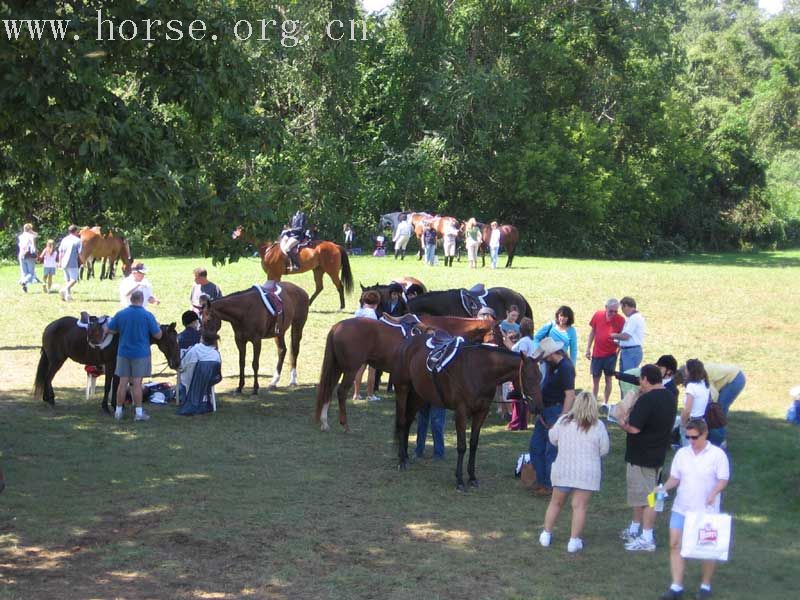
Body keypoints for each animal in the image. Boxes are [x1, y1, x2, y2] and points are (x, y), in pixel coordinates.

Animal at [33, 318, 180, 412]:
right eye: (172, 341)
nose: (177, 362)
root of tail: (49, 327)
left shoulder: (116, 366)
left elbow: (114, 385)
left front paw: (114, 405)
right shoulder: (111, 365)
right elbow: (110, 385)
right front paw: (108, 406)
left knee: (47, 378)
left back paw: (47, 398)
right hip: (57, 361)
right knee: (48, 378)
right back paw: (50, 400)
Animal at [312, 314, 500, 432]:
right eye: (498, 333)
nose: (499, 349)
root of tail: (337, 326)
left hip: (337, 367)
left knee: (328, 390)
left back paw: (324, 423)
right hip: (351, 369)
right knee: (341, 392)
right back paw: (344, 425)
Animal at [392, 332, 544, 492]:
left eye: (540, 377)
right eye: (529, 378)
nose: (539, 407)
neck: (480, 371)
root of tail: (406, 344)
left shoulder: (481, 412)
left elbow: (473, 444)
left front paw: (472, 477)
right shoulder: (461, 413)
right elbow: (461, 446)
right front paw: (459, 480)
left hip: (419, 395)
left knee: (408, 421)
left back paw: (405, 456)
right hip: (403, 389)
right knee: (402, 422)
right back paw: (401, 461)